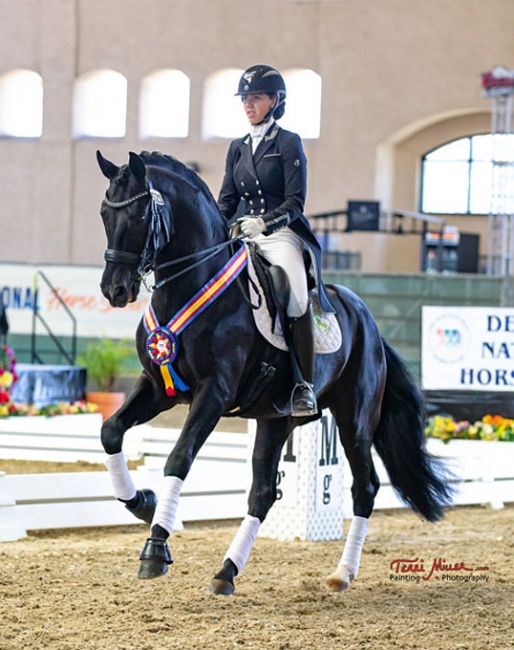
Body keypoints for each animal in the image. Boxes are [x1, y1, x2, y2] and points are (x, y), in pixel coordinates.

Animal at [94, 151, 450, 592]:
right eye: (105, 213)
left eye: (141, 214)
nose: (114, 290)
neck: (191, 282)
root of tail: (367, 318)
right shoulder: (159, 388)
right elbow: (111, 431)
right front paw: (143, 502)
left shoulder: (214, 394)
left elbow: (178, 459)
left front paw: (155, 549)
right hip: (275, 419)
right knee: (263, 493)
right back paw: (226, 571)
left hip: (355, 419)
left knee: (364, 489)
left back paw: (341, 573)